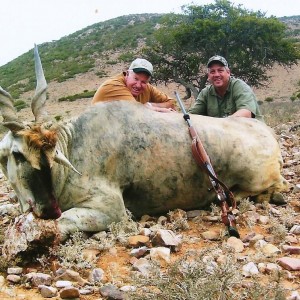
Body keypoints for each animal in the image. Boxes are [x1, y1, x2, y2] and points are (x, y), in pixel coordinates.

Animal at [0, 45, 288, 240]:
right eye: (17, 154)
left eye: (51, 153)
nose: (48, 209)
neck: (75, 144)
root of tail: (268, 133)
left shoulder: (111, 210)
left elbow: (64, 222)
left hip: (257, 179)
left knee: (275, 187)